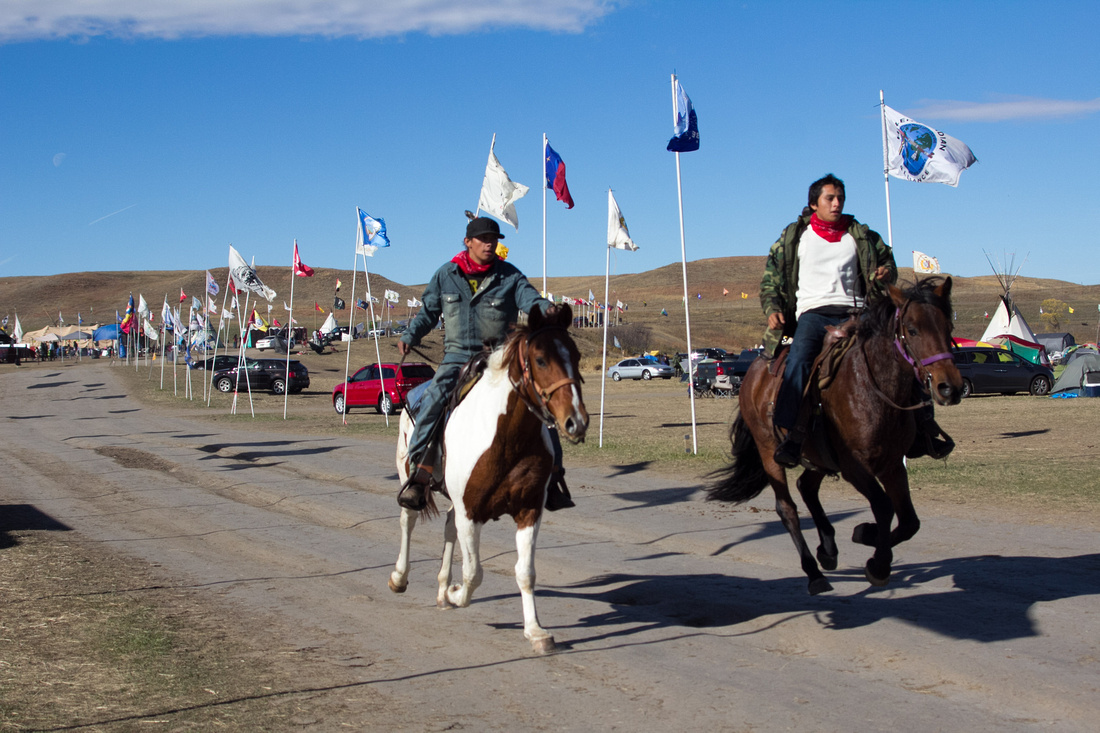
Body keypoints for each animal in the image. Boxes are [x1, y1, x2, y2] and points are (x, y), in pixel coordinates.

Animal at [391, 301, 589, 651]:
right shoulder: (471, 513)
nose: (576, 421)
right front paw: (456, 593)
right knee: (408, 520)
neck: (507, 437)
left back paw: (441, 590)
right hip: (409, 479)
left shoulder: (528, 511)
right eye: (540, 359)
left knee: (448, 528)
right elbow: (474, 573)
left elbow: (525, 572)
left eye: (576, 356)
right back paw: (401, 578)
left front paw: (536, 631)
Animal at [708, 277, 959, 589]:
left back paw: (827, 549)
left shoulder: (892, 464)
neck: (872, 387)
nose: (950, 387)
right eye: (912, 330)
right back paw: (814, 572)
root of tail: (753, 371)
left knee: (806, 486)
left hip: (818, 456)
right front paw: (877, 561)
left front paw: (867, 536)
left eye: (948, 327)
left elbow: (909, 521)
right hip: (769, 450)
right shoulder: (855, 467)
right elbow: (884, 507)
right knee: (787, 507)